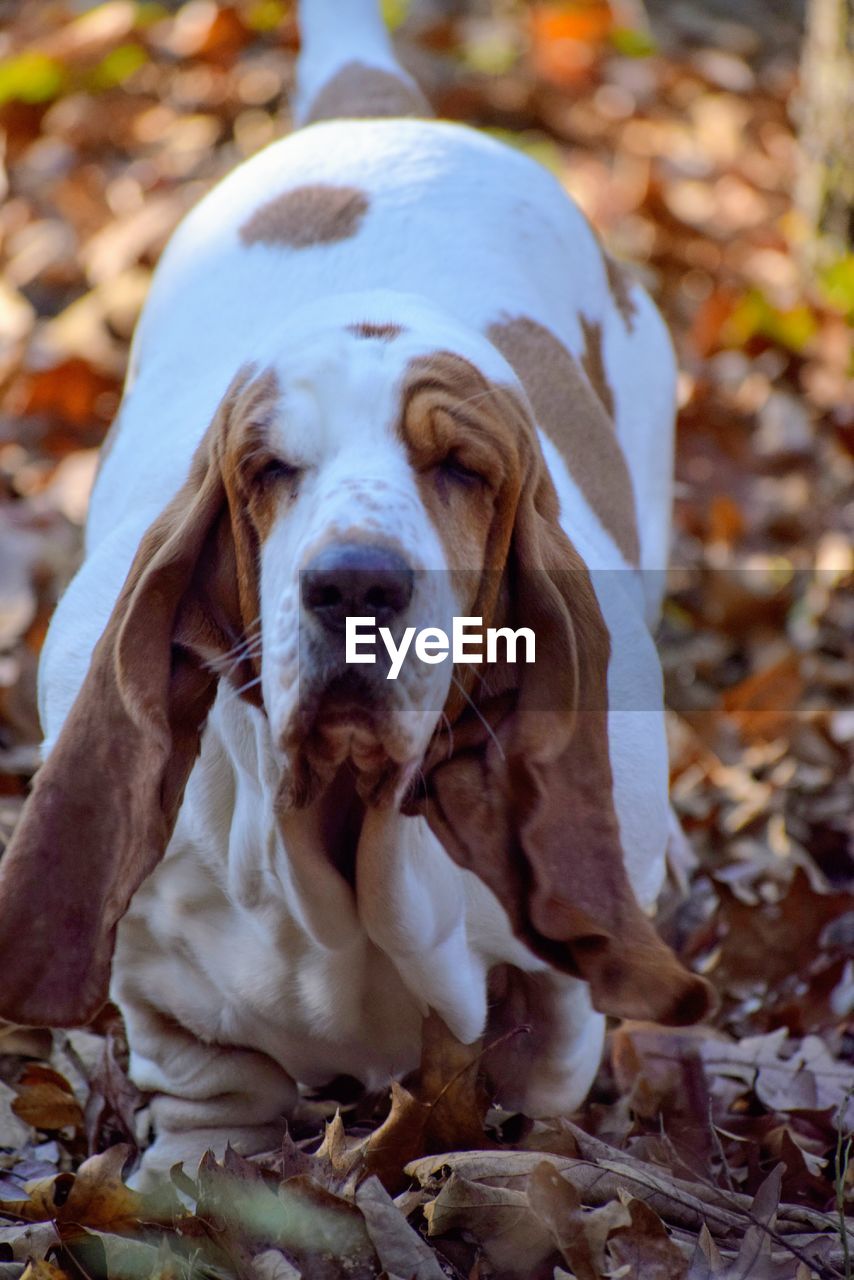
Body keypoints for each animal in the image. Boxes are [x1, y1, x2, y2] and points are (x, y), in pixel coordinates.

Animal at [0, 0, 711, 1177]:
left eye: (462, 468)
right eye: (267, 468)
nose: (354, 585)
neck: (344, 844)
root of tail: (373, 107)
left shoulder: (557, 990)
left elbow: (550, 1048)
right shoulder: (159, 988)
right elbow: (210, 1088)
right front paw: (198, 1176)